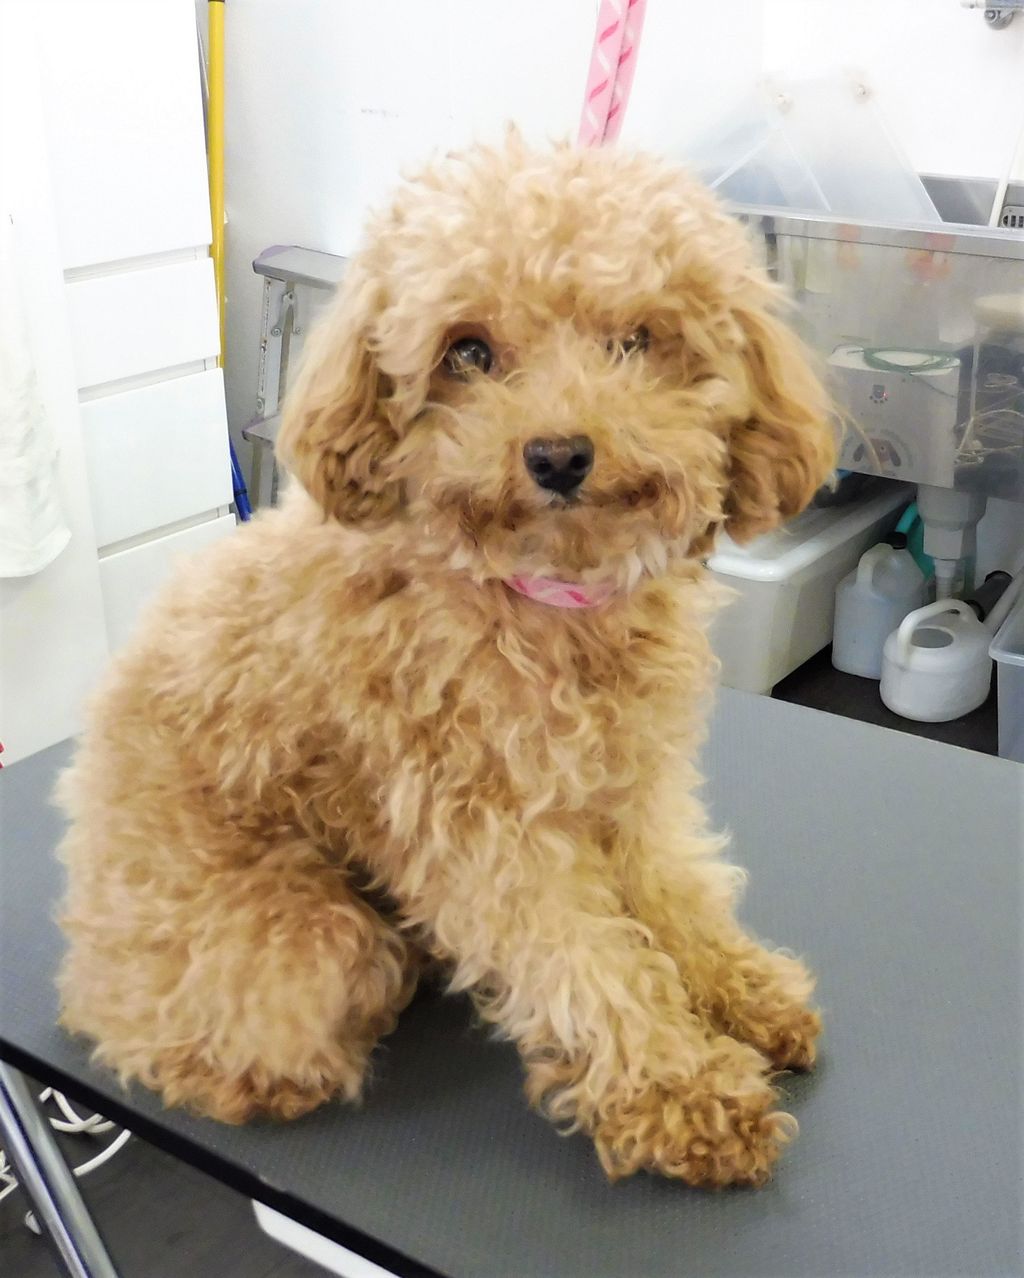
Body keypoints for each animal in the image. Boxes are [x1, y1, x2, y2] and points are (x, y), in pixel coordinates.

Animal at [57, 135, 835, 1187]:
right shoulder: (478, 826)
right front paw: (685, 1094)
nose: (558, 455)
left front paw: (745, 992)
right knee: (179, 1033)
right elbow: (586, 963)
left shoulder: (628, 781)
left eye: (636, 339)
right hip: (302, 941)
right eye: (469, 351)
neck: (541, 596)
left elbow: (675, 891)